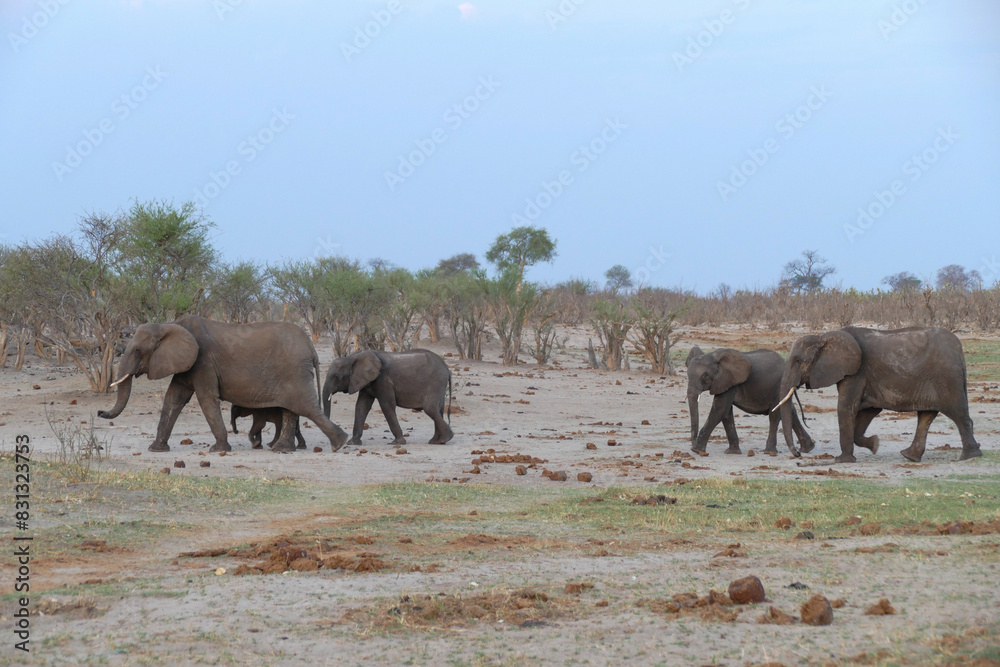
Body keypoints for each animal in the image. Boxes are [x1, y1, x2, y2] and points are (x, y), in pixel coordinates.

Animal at [98, 315, 348, 453]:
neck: (169, 324)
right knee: (293, 408)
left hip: (294, 371)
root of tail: (312, 348)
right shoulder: (188, 364)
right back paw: (284, 449)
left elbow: (206, 399)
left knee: (305, 407)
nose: (100, 412)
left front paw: (218, 450)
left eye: (138, 351)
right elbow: (174, 399)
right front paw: (156, 450)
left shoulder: (203, 361)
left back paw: (339, 444)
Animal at [322, 348, 452, 447]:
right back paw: (437, 441)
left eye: (337, 377)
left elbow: (387, 405)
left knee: (430, 408)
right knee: (438, 410)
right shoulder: (366, 381)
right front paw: (353, 443)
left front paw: (397, 443)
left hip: (436, 383)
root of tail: (447, 368)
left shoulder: (383, 379)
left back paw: (444, 439)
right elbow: (361, 406)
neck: (354, 356)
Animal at [774, 326, 982, 463]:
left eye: (799, 361)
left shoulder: (856, 372)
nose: (799, 454)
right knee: (926, 415)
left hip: (947, 378)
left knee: (958, 414)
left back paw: (969, 457)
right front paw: (875, 445)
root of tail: (959, 348)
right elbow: (867, 411)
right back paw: (910, 456)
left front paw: (842, 461)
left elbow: (846, 408)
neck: (825, 336)